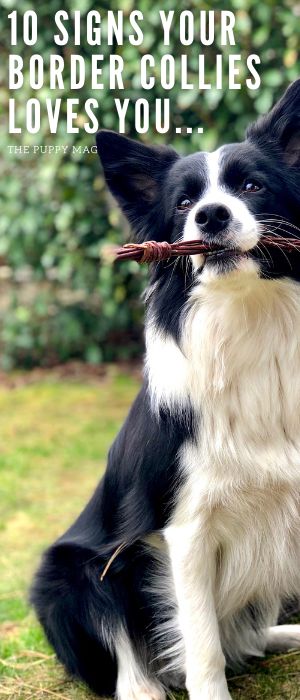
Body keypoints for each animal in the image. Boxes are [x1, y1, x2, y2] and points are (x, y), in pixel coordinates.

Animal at [31, 82, 300, 700]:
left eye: (252, 186)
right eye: (182, 204)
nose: (211, 215)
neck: (249, 321)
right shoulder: (185, 528)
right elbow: (200, 645)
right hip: (70, 576)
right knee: (141, 666)